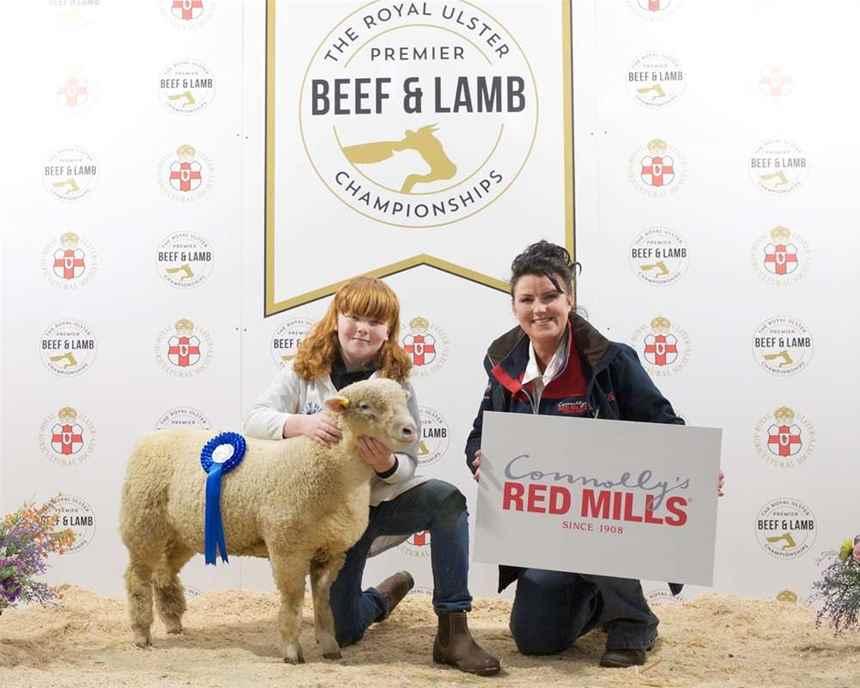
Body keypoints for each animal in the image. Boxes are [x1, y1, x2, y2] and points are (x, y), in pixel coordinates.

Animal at [119, 378, 417, 664]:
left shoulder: (331, 551)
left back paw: (173, 623)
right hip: (142, 523)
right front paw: (292, 651)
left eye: (403, 401)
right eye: (365, 406)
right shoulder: (287, 546)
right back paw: (142, 634)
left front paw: (330, 647)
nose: (410, 430)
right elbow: (293, 600)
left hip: (182, 532)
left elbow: (322, 602)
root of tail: (150, 438)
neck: (328, 468)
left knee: (164, 572)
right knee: (138, 577)